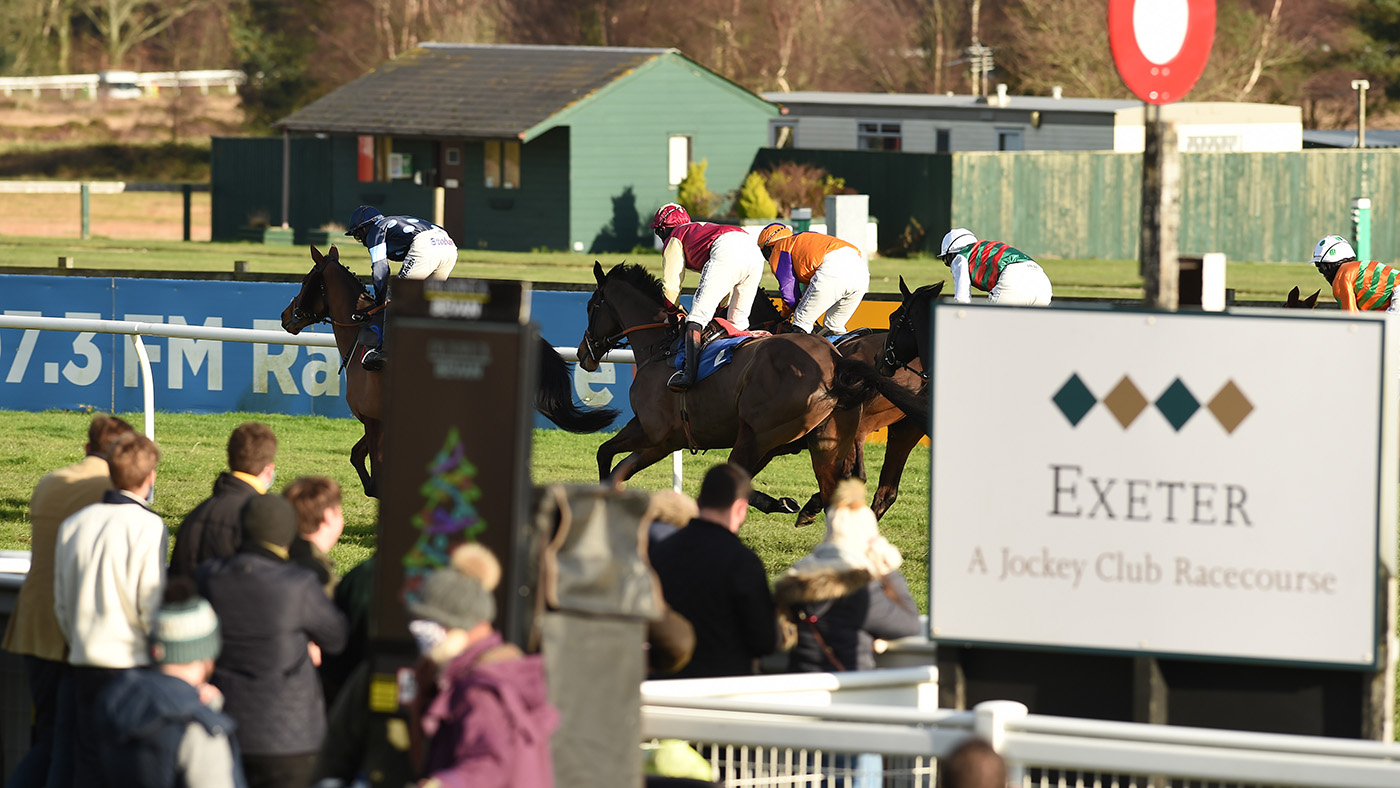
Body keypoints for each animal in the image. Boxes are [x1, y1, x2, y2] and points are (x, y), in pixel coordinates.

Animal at [278, 243, 618, 495]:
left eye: (305, 281)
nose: (284, 316)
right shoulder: (383, 420)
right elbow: (357, 456)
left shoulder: (374, 419)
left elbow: (376, 473)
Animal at [574, 261, 924, 515]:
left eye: (591, 305)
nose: (582, 353)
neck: (660, 347)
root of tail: (837, 364)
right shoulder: (663, 440)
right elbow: (618, 466)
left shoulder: (652, 431)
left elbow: (605, 454)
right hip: (835, 440)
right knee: (842, 493)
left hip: (758, 435)